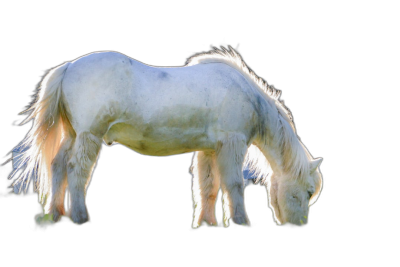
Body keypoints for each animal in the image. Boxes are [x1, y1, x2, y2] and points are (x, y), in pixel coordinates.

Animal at [9, 47, 324, 226]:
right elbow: (234, 184)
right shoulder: (232, 145)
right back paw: (79, 217)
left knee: (58, 166)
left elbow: (208, 187)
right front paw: (240, 221)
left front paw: (207, 222)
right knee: (76, 170)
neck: (246, 94)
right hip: (88, 135)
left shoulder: (210, 149)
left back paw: (55, 214)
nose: (298, 225)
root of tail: (70, 66)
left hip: (74, 135)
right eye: (308, 191)